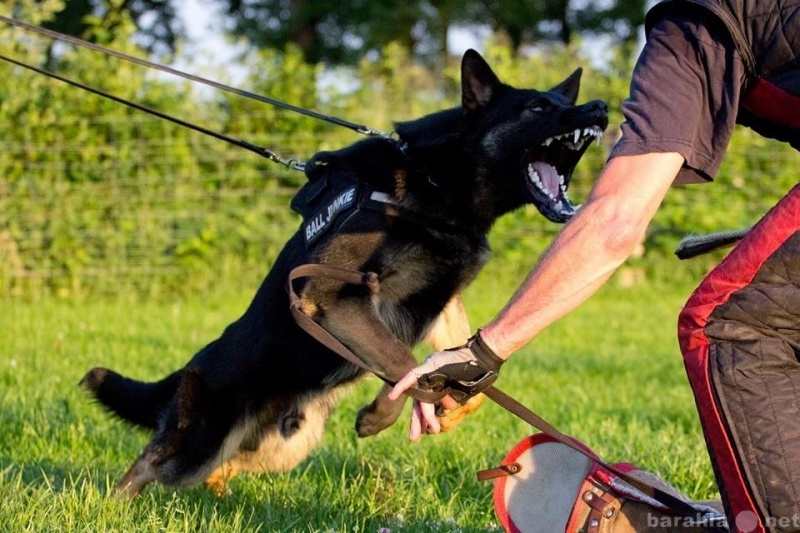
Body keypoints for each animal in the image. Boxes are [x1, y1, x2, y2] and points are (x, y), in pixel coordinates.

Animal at [79, 50, 608, 494]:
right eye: (537, 108)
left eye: (566, 101)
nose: (601, 107)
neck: (436, 181)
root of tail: (188, 370)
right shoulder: (337, 295)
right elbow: (404, 363)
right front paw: (387, 412)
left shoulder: (436, 304)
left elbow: (452, 373)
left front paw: (435, 408)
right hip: (197, 445)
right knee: (148, 465)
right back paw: (117, 507)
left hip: (283, 448)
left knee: (216, 469)